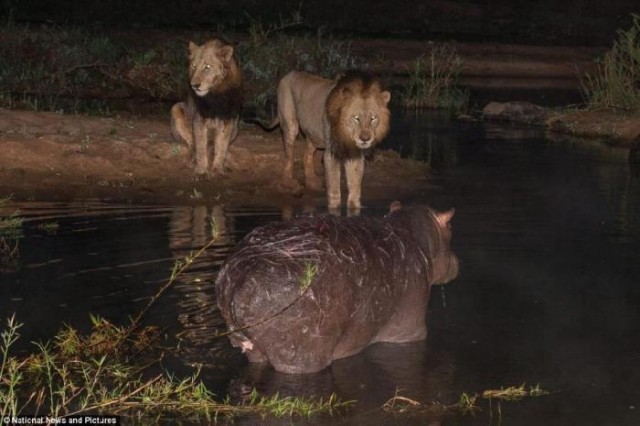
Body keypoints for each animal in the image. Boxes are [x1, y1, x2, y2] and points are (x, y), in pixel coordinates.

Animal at [170, 39, 242, 178]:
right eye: (193, 65)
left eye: (207, 67)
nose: (194, 85)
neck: (215, 93)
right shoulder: (199, 118)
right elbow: (201, 146)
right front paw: (201, 171)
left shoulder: (228, 119)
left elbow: (222, 146)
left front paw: (218, 169)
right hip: (176, 107)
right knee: (192, 144)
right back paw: (192, 160)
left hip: (236, 127)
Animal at [258, 70, 390, 211]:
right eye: (356, 118)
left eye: (373, 118)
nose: (365, 138)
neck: (347, 134)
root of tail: (288, 74)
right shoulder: (331, 153)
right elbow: (334, 186)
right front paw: (334, 208)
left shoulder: (355, 154)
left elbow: (355, 186)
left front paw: (354, 209)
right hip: (291, 125)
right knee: (289, 156)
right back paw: (289, 183)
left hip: (314, 135)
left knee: (306, 155)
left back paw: (313, 183)